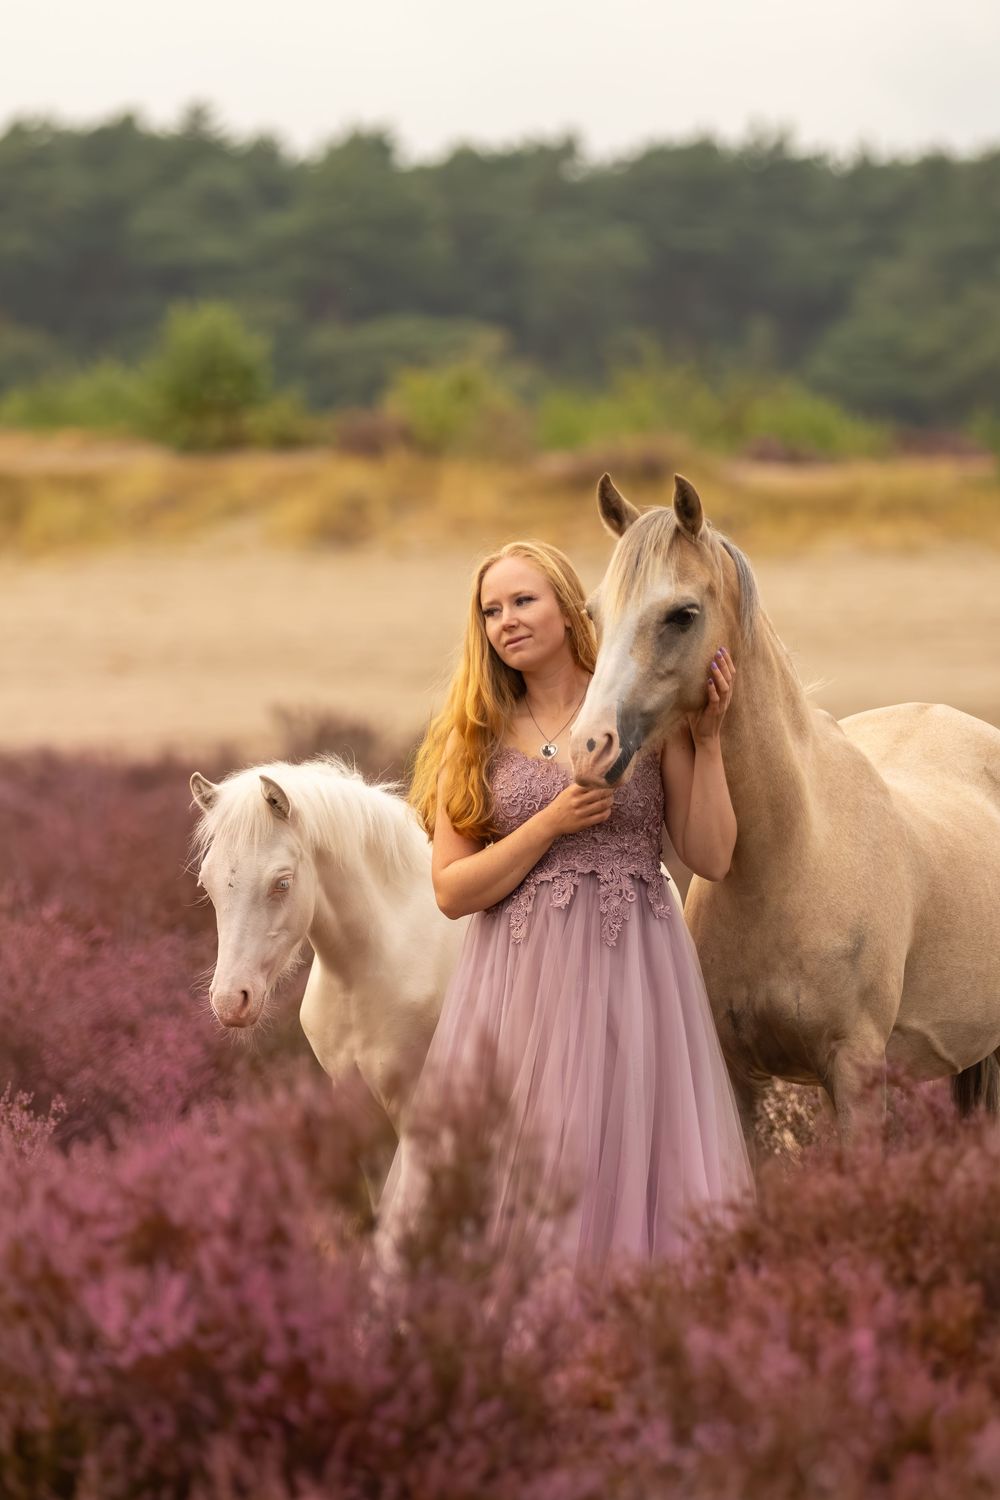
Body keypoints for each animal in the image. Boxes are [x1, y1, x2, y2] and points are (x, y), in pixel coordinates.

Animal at [570, 471, 1000, 1146]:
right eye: (594, 612)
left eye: (682, 615)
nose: (590, 747)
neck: (789, 855)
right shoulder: (737, 1075)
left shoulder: (855, 1075)